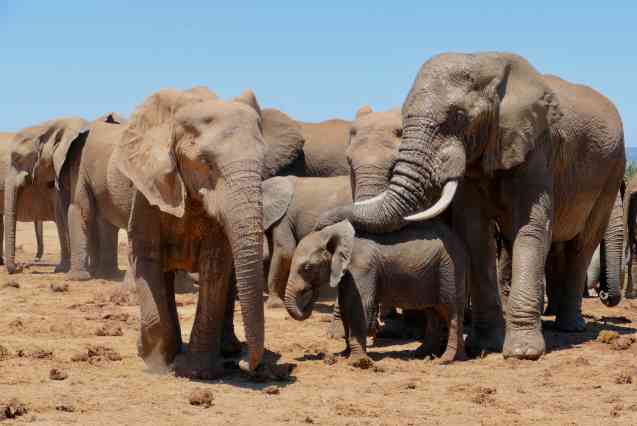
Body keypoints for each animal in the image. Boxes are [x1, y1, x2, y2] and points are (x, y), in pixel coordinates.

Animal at [116, 86, 306, 380]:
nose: (245, 365)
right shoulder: (149, 191)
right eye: (205, 162)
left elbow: (215, 265)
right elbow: (146, 257)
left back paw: (227, 349)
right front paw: (158, 366)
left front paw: (198, 372)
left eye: (262, 162)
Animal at [286, 220, 464, 366]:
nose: (313, 290)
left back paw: (445, 360)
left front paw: (358, 362)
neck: (331, 233)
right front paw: (344, 355)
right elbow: (345, 306)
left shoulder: (361, 267)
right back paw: (423, 355)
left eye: (307, 268)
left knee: (452, 312)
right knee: (433, 312)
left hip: (449, 269)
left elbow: (359, 306)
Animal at [316, 52, 624, 360]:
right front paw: (485, 346)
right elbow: (474, 234)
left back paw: (569, 327)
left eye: (459, 117)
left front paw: (523, 352)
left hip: (611, 171)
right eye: (348, 165)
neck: (486, 60)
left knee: (582, 245)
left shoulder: (538, 146)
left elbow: (531, 227)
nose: (321, 222)